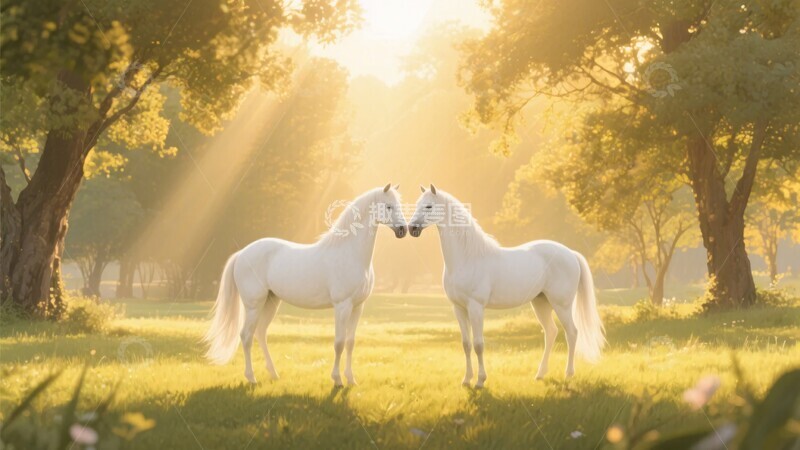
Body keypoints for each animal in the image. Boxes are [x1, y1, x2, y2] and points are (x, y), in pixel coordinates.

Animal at [204, 184, 408, 386]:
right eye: (389, 206)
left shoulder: (358, 307)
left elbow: (350, 342)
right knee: (246, 336)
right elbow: (339, 343)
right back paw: (251, 377)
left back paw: (273, 373)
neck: (349, 252)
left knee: (260, 333)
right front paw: (337, 379)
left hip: (271, 301)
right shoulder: (342, 306)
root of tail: (242, 253)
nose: (403, 230)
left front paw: (351, 379)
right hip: (254, 305)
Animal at [408, 184, 605, 388]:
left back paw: (569, 374)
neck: (468, 258)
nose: (411, 228)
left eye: (429, 206)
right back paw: (540, 374)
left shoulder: (476, 307)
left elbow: (478, 344)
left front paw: (480, 381)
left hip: (561, 305)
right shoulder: (459, 308)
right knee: (551, 332)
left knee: (571, 333)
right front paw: (466, 380)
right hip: (540, 302)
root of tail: (571, 253)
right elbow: (466, 344)